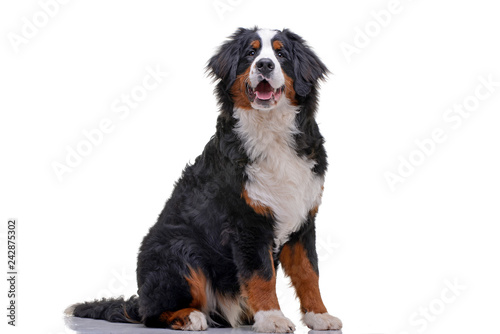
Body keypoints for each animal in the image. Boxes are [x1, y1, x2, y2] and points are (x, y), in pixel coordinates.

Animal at [66, 27, 342, 332]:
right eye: (251, 53)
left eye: (281, 54)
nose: (264, 65)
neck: (273, 132)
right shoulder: (247, 222)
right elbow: (262, 276)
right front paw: (272, 318)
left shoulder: (303, 218)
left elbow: (309, 273)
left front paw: (319, 316)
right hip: (180, 249)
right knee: (153, 314)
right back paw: (190, 316)